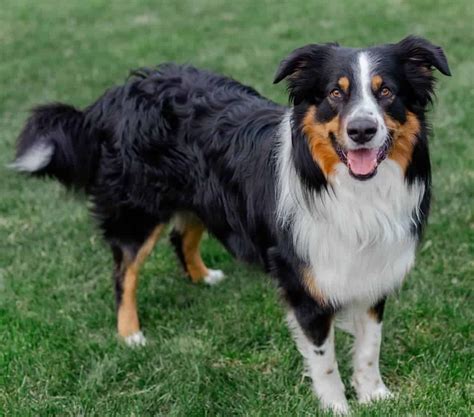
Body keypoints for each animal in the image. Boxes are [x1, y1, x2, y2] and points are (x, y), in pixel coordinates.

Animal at [10, 36, 448, 412]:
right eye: (335, 94)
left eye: (386, 92)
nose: (361, 130)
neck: (349, 189)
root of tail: (119, 94)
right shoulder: (303, 282)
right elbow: (324, 361)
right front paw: (337, 407)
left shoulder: (373, 269)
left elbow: (370, 347)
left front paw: (374, 395)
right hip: (138, 211)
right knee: (124, 272)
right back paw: (131, 334)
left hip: (203, 196)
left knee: (182, 235)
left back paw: (202, 277)